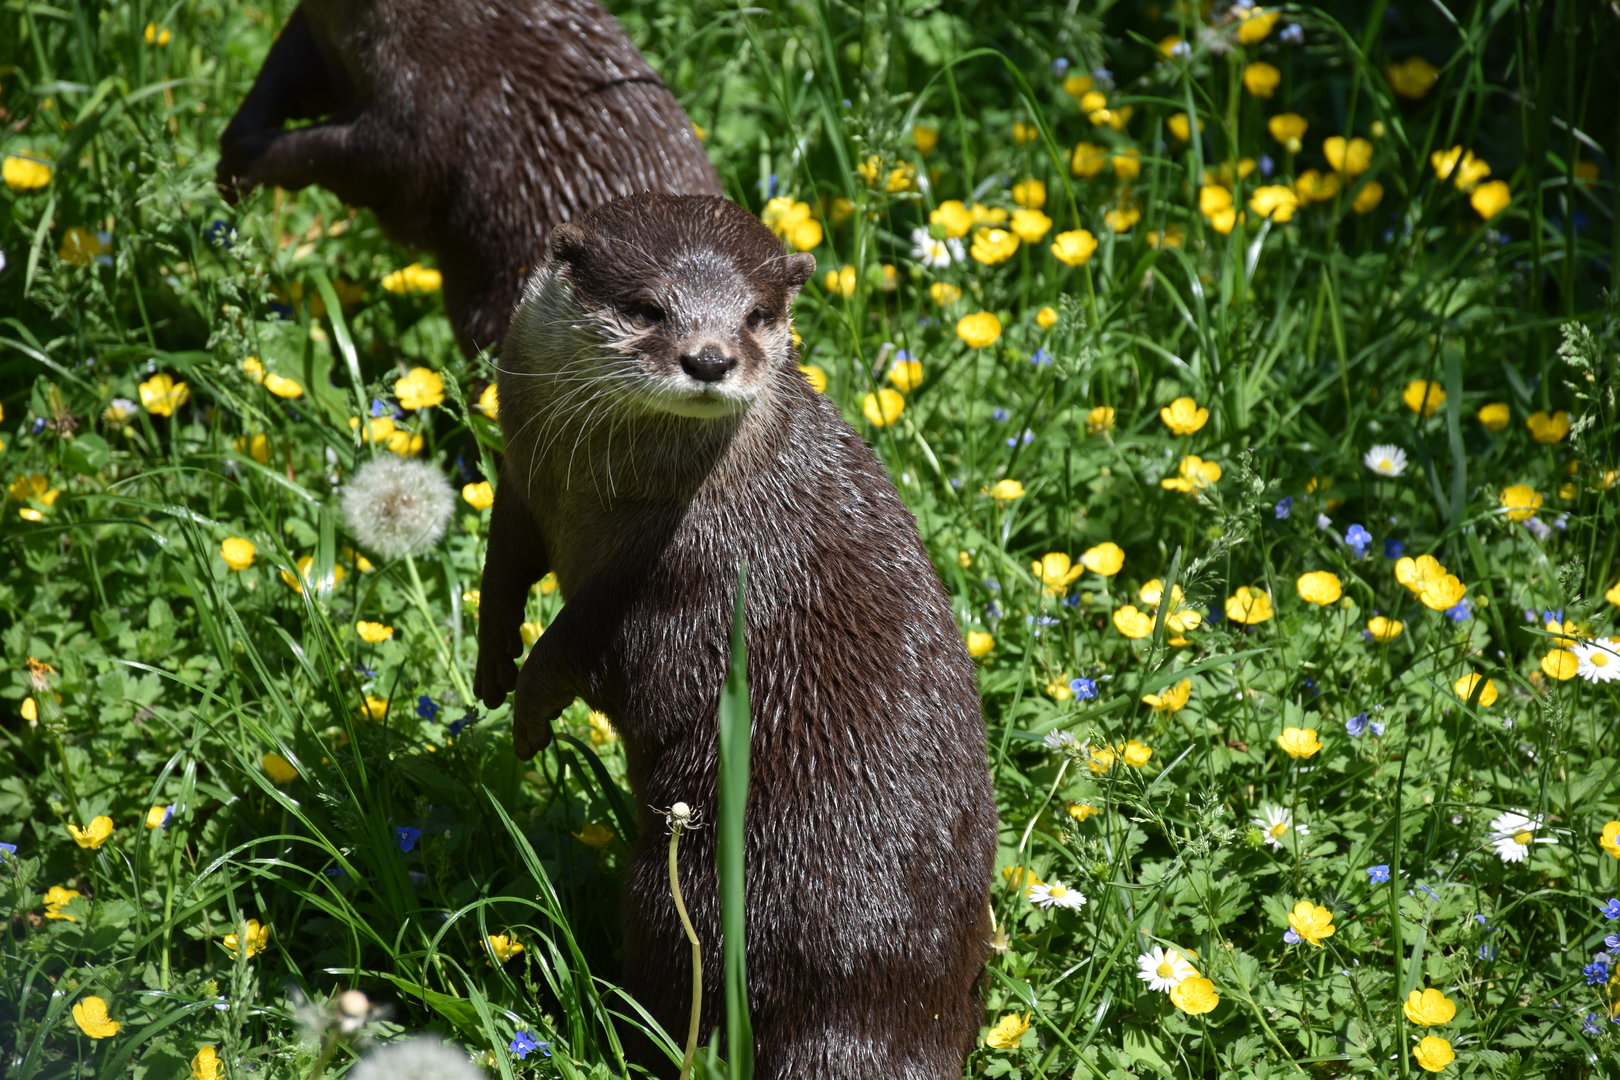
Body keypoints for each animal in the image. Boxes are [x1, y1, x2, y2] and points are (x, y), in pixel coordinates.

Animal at [217, 0, 722, 356]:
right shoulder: (314, 32)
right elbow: (284, 67)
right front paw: (231, 147)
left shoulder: (424, 102)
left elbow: (364, 161)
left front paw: (247, 163)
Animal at [474, 194, 996, 1079]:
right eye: (645, 308)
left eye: (756, 315)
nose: (711, 358)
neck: (592, 486)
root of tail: (873, 1022)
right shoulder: (520, 475)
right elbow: (503, 563)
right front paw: (489, 664)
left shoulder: (677, 571)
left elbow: (589, 651)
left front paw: (526, 718)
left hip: (690, 891)